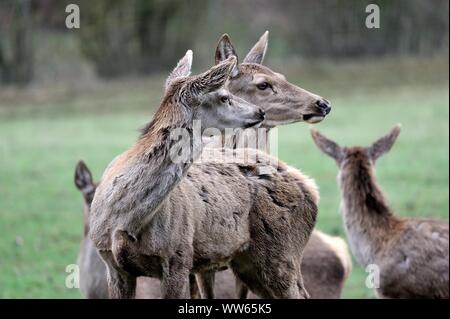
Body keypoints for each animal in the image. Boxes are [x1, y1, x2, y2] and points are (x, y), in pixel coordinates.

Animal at [89, 50, 318, 300]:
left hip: (283, 250)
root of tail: (310, 186)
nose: (260, 111)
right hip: (249, 262)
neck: (125, 220)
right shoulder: (113, 264)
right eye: (224, 97)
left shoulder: (178, 256)